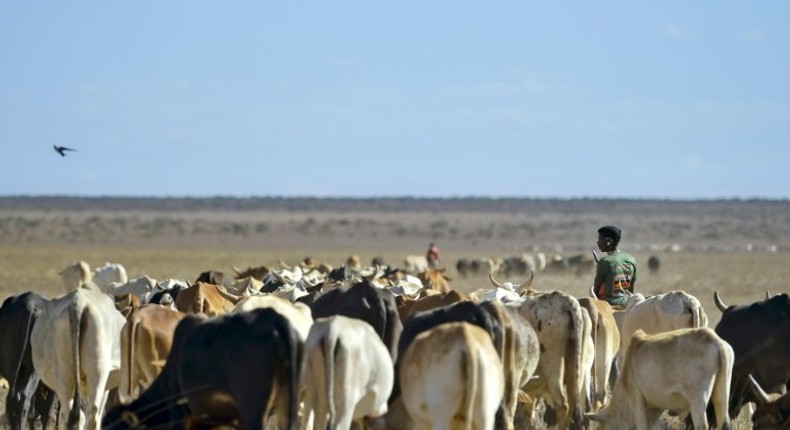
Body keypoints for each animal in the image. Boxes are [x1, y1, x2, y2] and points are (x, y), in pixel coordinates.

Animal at [0, 292, 58, 430]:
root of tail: (30, 304)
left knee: (12, 401)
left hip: (12, 370)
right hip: (33, 371)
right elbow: (46, 412)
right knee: (24, 400)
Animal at [588, 328, 736, 428]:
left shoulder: (636, 399)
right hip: (722, 395)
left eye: (600, 427)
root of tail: (714, 339)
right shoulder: (655, 407)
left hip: (698, 400)